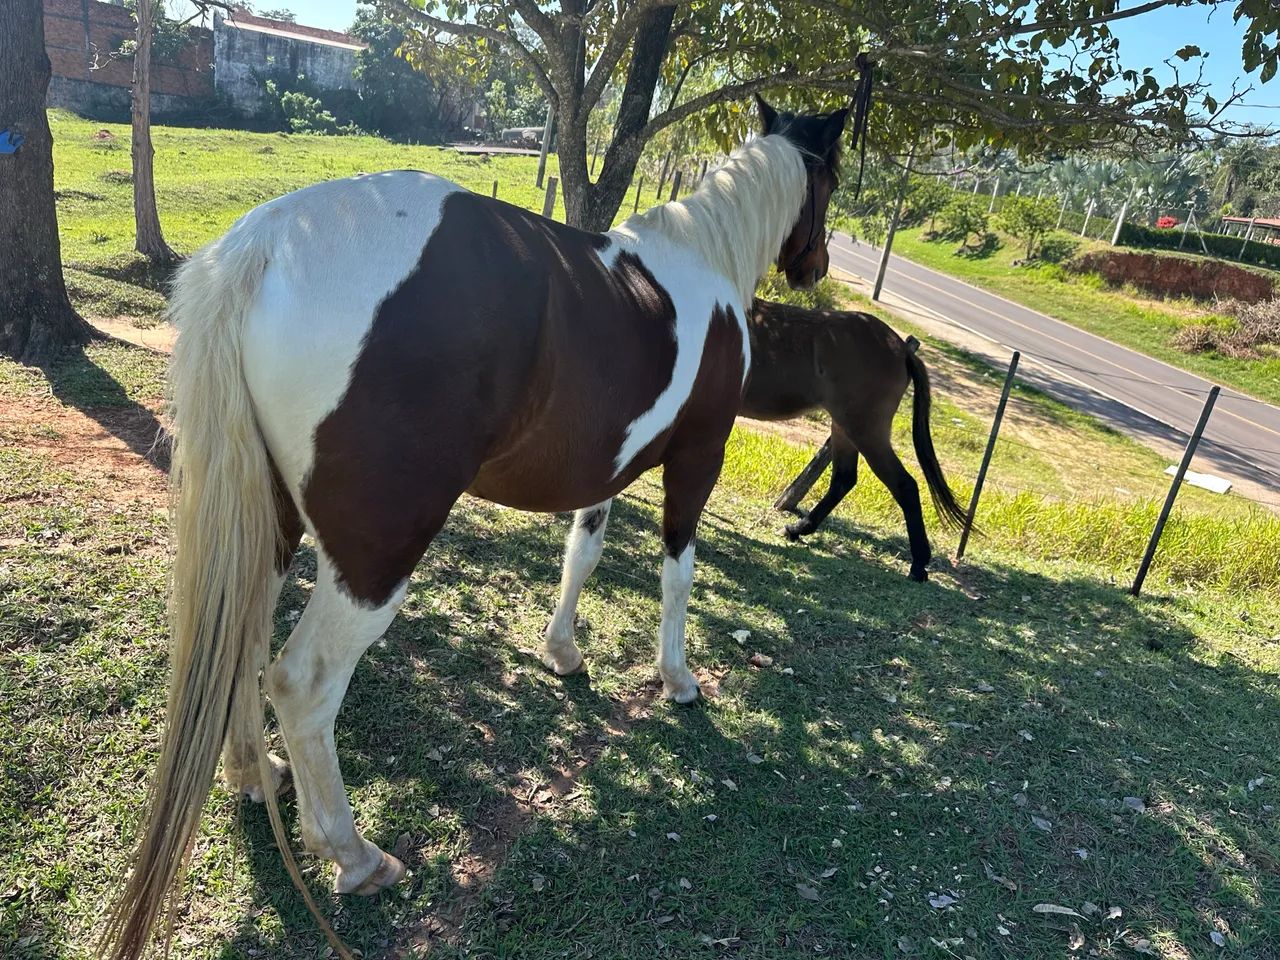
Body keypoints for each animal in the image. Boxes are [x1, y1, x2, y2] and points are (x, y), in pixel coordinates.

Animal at [100, 96, 849, 960]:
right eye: (830, 181)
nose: (818, 265)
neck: (704, 262)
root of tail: (268, 241)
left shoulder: (607, 472)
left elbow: (583, 551)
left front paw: (563, 652)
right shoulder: (698, 457)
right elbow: (677, 572)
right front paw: (678, 679)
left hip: (270, 522)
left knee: (242, 638)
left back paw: (257, 777)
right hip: (375, 555)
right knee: (302, 682)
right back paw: (354, 856)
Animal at [740, 298, 968, 581]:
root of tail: (902, 350)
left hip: (865, 431)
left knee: (904, 485)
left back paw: (918, 565)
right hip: (844, 429)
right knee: (844, 479)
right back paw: (797, 529)